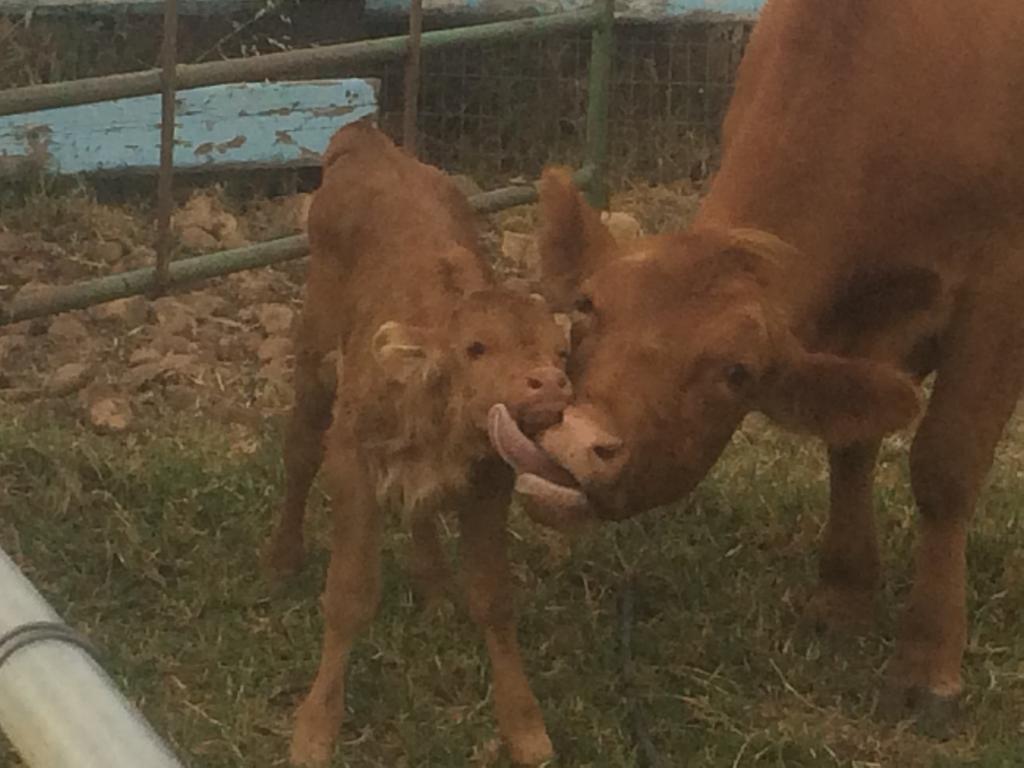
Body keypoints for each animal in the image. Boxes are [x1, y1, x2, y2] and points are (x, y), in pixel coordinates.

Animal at [262, 120, 569, 765]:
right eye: (476, 347)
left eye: (559, 352)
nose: (550, 384)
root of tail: (367, 139)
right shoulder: (352, 461)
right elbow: (349, 594)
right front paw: (315, 728)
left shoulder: (491, 481)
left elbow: (493, 597)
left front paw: (525, 726)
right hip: (314, 356)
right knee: (299, 452)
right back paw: (281, 558)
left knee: (420, 509)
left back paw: (433, 585)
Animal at [509, 0, 1024, 733]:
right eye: (584, 309)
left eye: (736, 373)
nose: (576, 442)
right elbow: (850, 443)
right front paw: (843, 595)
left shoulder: (999, 296)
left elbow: (945, 469)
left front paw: (929, 665)